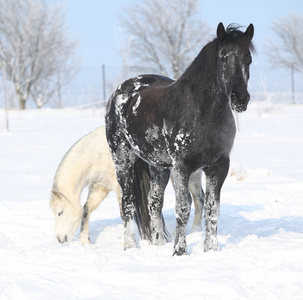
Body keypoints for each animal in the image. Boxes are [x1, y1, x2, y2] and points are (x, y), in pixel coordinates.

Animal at [50, 125, 204, 245]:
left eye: (60, 212)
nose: (59, 239)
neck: (97, 155)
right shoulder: (99, 189)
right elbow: (85, 210)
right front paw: (85, 241)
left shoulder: (120, 188)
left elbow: (124, 214)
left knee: (196, 200)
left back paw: (194, 231)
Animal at [105, 22, 255, 254]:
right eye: (224, 57)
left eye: (249, 59)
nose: (240, 99)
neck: (202, 113)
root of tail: (119, 93)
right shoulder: (182, 167)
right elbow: (182, 209)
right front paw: (179, 250)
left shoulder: (218, 166)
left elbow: (212, 209)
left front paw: (211, 250)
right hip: (123, 159)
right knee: (128, 202)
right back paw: (129, 245)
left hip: (158, 166)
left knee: (154, 203)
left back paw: (158, 243)